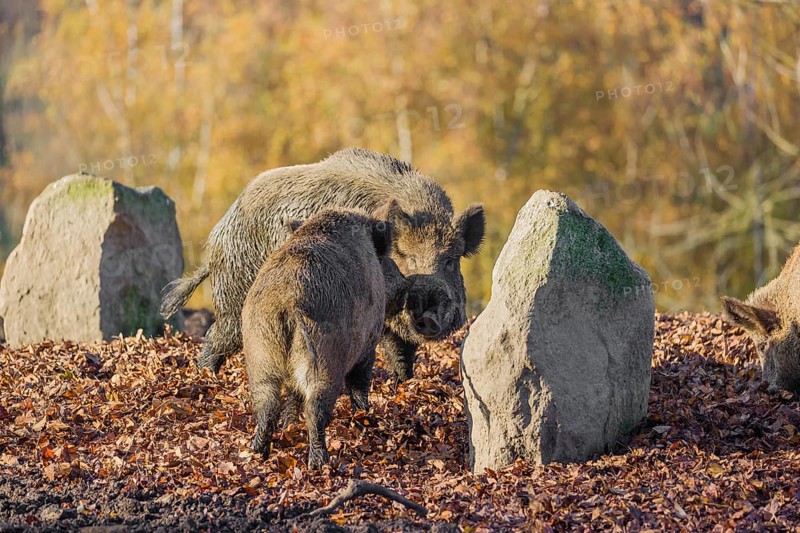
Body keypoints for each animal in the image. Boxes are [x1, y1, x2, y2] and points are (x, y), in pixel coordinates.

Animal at [161, 147, 485, 381]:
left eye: (451, 259)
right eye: (406, 255)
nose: (429, 313)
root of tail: (219, 234)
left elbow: (402, 353)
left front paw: (404, 383)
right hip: (236, 293)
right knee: (217, 336)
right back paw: (207, 377)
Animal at [242, 206, 408, 469]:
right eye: (386, 259)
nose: (406, 286)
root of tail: (286, 302)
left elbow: (292, 398)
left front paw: (290, 426)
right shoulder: (367, 347)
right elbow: (359, 385)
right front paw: (365, 416)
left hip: (259, 354)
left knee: (267, 405)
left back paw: (259, 454)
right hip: (324, 357)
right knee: (315, 407)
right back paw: (320, 463)